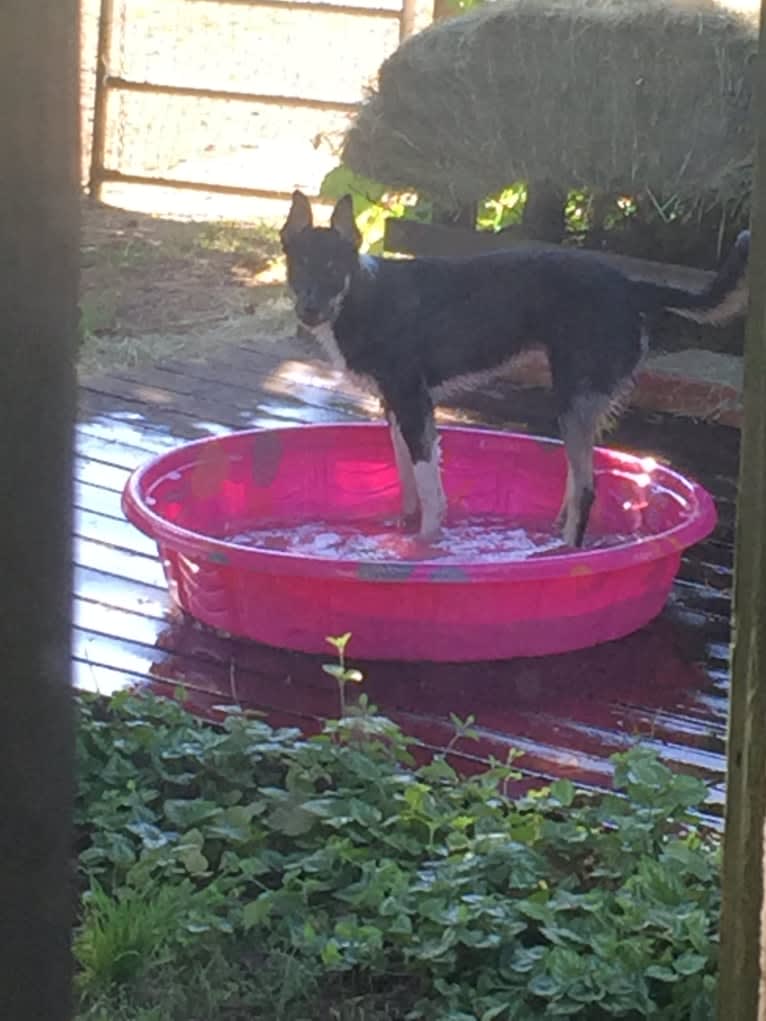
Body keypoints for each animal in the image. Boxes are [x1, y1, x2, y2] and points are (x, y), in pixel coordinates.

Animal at [279, 189, 751, 543]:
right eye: (299, 267)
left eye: (332, 269)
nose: (309, 311)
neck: (360, 297)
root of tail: (631, 286)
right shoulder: (397, 409)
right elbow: (410, 486)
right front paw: (400, 531)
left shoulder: (414, 404)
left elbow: (430, 494)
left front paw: (423, 548)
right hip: (579, 405)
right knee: (576, 481)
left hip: (572, 399)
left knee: (586, 489)